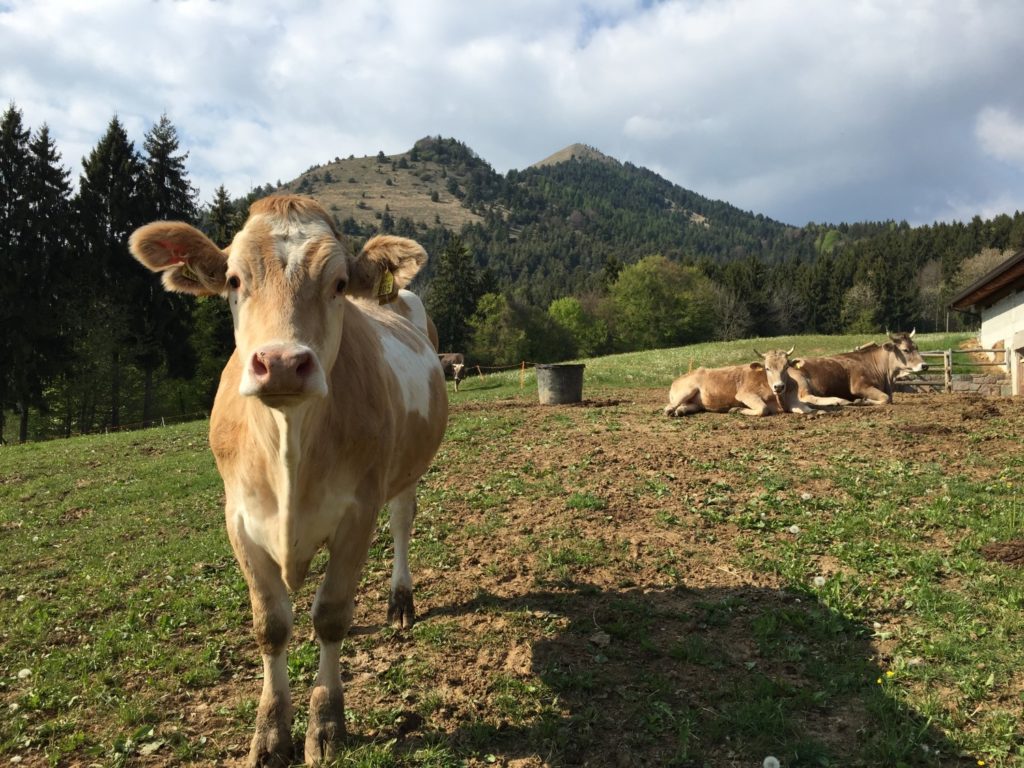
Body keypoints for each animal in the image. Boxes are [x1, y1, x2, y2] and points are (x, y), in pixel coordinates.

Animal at [128, 195, 448, 767]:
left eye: (340, 283)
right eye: (234, 280)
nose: (280, 363)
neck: (288, 448)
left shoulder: (357, 512)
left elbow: (331, 616)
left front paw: (326, 723)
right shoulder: (238, 519)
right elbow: (271, 625)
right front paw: (271, 732)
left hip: (405, 472)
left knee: (403, 523)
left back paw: (400, 602)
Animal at [664, 348, 836, 417]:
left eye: (786, 367)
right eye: (767, 368)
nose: (779, 386)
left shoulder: (794, 401)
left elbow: (809, 409)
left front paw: (820, 411)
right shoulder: (744, 395)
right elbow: (763, 409)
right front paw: (736, 409)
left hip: (697, 402)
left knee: (688, 406)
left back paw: (681, 411)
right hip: (686, 390)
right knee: (669, 407)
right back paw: (672, 411)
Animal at [791, 330, 928, 406]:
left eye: (917, 347)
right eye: (905, 350)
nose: (925, 365)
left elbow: (889, 397)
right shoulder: (860, 386)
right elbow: (886, 398)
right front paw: (863, 401)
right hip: (801, 380)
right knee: (806, 397)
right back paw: (840, 401)